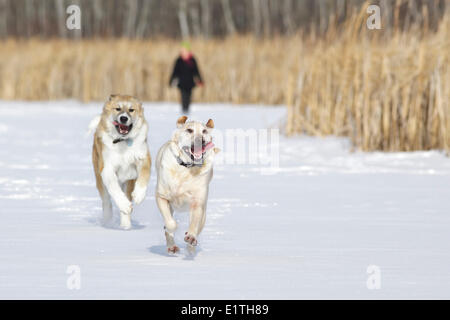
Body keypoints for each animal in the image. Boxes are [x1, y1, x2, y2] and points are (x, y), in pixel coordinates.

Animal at [90, 94, 152, 229]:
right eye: (117, 109)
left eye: (131, 110)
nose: (123, 118)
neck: (122, 141)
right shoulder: (107, 167)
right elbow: (114, 188)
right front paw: (124, 205)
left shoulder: (142, 159)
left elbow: (144, 175)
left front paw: (139, 195)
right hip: (99, 179)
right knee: (107, 201)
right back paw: (108, 221)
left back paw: (125, 225)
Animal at [155, 116, 220, 254]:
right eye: (189, 130)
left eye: (204, 131)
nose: (200, 140)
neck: (186, 168)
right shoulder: (161, 197)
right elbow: (170, 223)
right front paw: (170, 228)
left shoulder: (197, 202)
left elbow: (194, 223)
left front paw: (190, 237)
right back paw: (172, 246)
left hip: (203, 213)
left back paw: (191, 246)